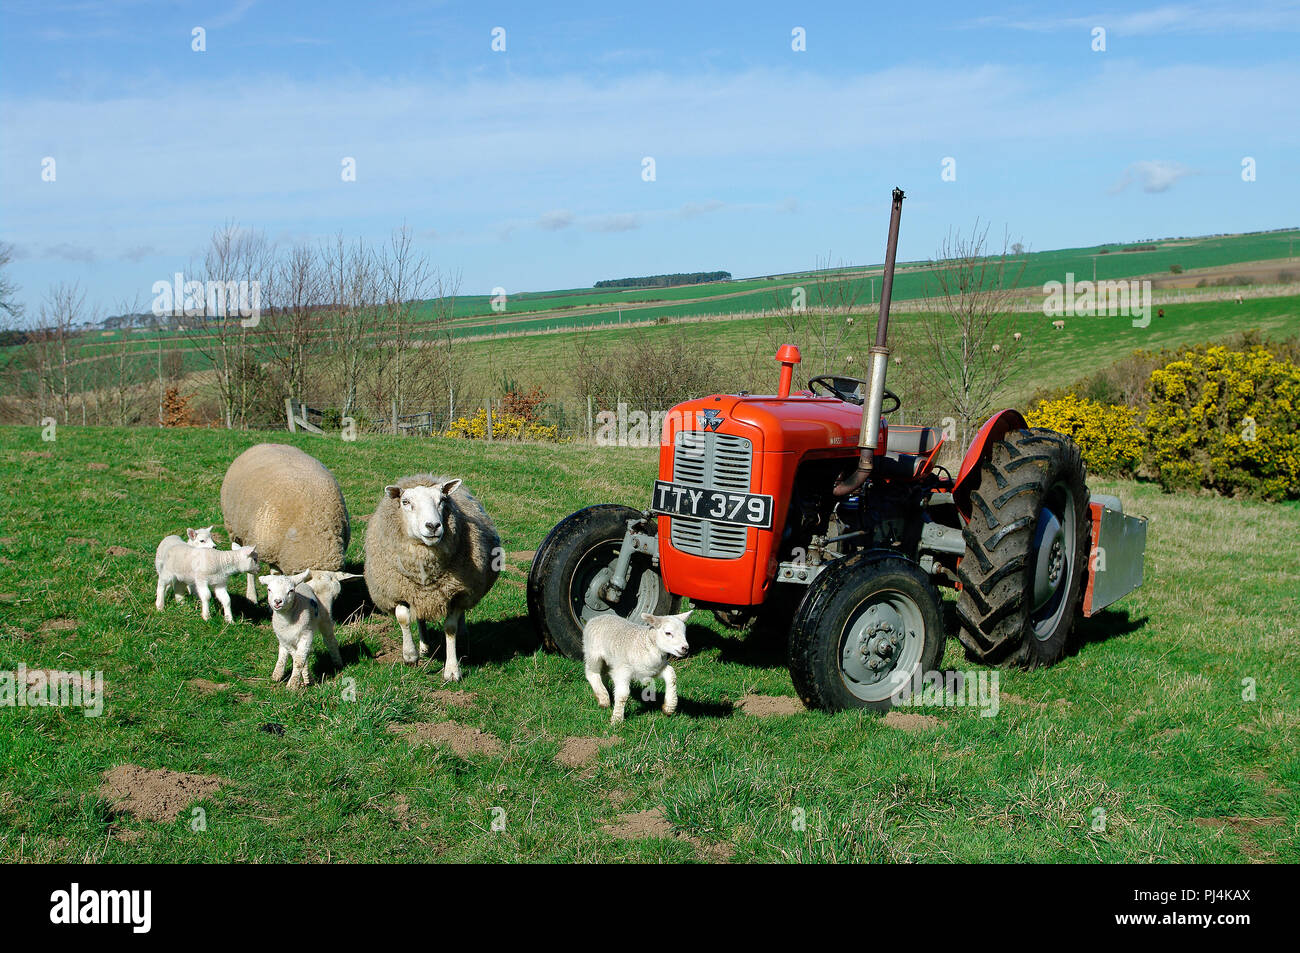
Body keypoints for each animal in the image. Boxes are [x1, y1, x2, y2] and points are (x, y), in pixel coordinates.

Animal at [219, 442, 351, 598]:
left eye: (336, 596)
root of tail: (264, 444)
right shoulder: (272, 552)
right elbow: (274, 575)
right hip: (237, 531)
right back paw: (252, 596)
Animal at [369, 473, 504, 681]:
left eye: (442, 500)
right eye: (405, 502)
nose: (433, 526)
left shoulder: (458, 593)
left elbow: (450, 628)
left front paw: (452, 670)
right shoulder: (396, 590)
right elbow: (403, 618)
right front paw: (410, 656)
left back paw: (462, 636)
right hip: (417, 595)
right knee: (420, 617)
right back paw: (424, 645)